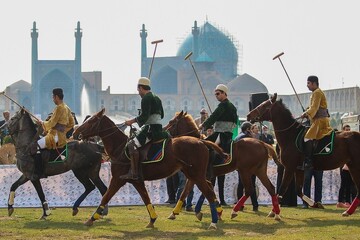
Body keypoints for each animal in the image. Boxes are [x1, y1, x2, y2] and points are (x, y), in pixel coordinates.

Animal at [72, 108, 226, 229]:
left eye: (91, 121)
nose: (75, 132)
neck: (119, 148)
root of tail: (201, 141)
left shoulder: (117, 179)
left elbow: (105, 197)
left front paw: (91, 218)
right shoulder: (137, 180)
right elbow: (146, 198)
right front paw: (152, 219)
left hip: (197, 175)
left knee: (209, 192)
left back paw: (213, 222)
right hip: (193, 174)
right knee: (206, 189)